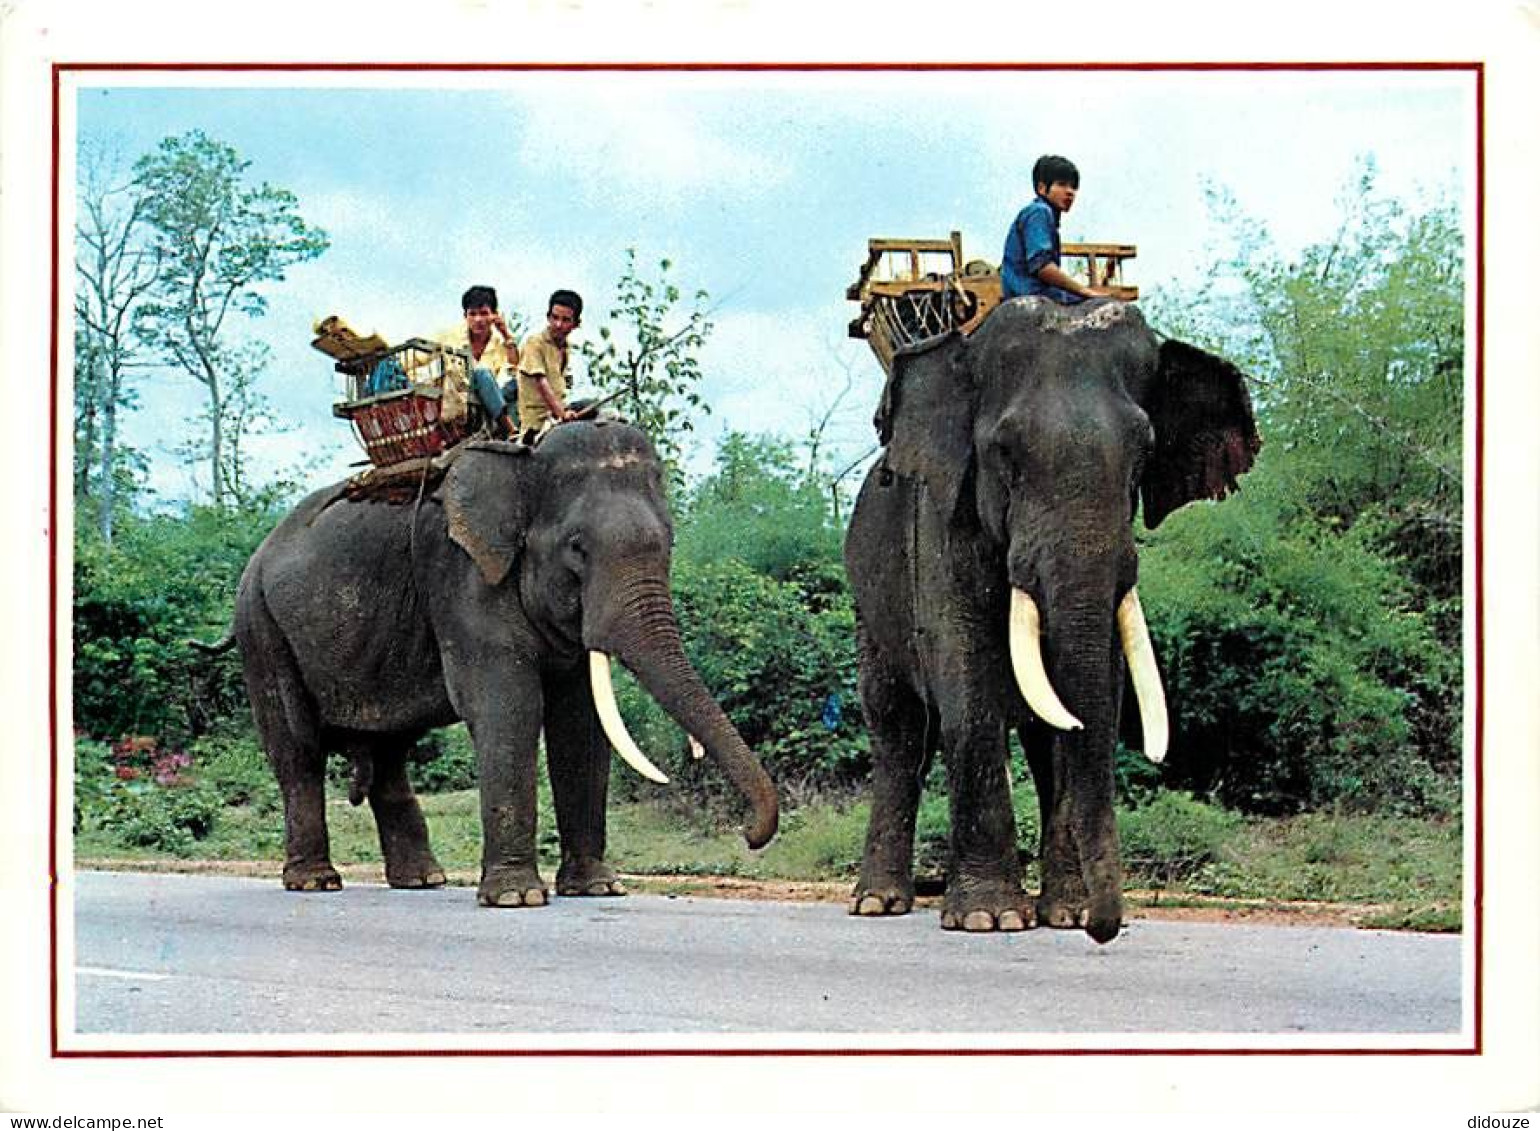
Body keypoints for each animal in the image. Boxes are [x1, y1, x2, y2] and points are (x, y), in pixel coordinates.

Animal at [223, 422, 776, 906]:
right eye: (577, 548)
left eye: (671, 542)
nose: (748, 835)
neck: (521, 462)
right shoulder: (462, 572)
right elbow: (508, 706)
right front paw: (516, 898)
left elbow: (580, 722)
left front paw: (597, 889)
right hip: (261, 628)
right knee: (297, 750)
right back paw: (315, 882)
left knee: (388, 754)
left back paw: (422, 881)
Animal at [850, 297, 1256, 943]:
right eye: (1004, 454)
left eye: (1144, 455)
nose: (1105, 930)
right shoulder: (942, 526)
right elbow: (968, 688)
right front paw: (989, 918)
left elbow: (1097, 697)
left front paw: (1068, 915)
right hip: (868, 601)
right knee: (898, 730)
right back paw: (877, 903)